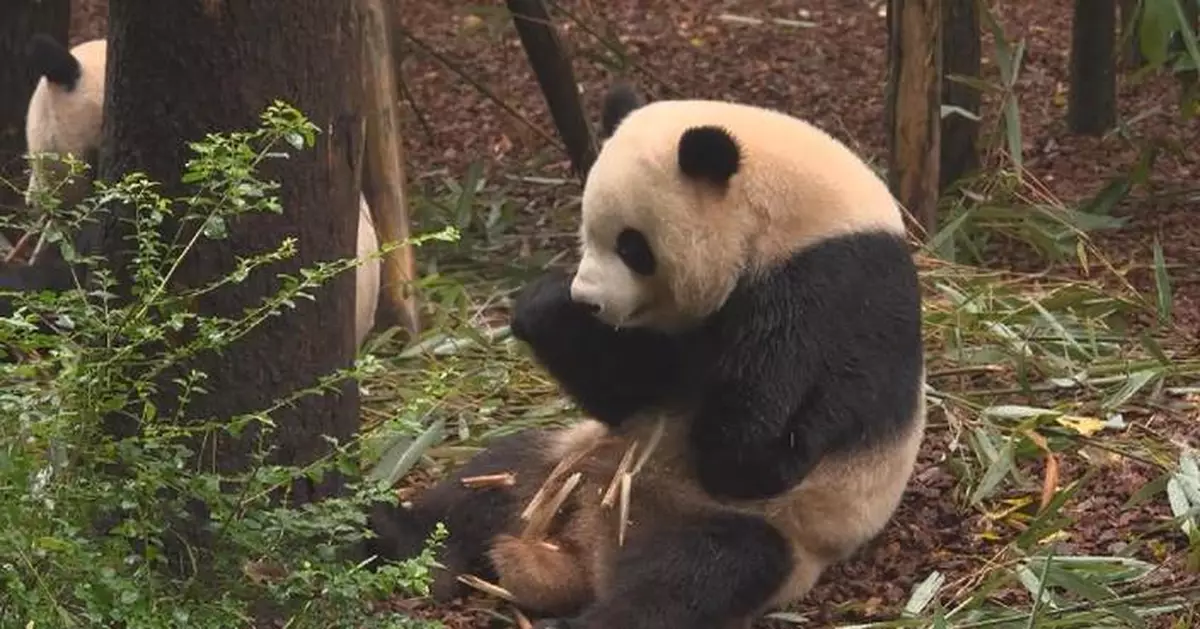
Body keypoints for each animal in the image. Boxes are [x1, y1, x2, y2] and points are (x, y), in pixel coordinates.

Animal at [368, 82, 927, 629]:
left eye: (633, 246)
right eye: (586, 230)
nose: (589, 299)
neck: (797, 216)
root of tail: (590, 551)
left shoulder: (828, 291)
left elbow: (749, 455)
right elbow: (628, 391)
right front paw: (544, 305)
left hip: (755, 528)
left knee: (691, 578)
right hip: (567, 462)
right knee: (488, 480)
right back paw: (395, 535)